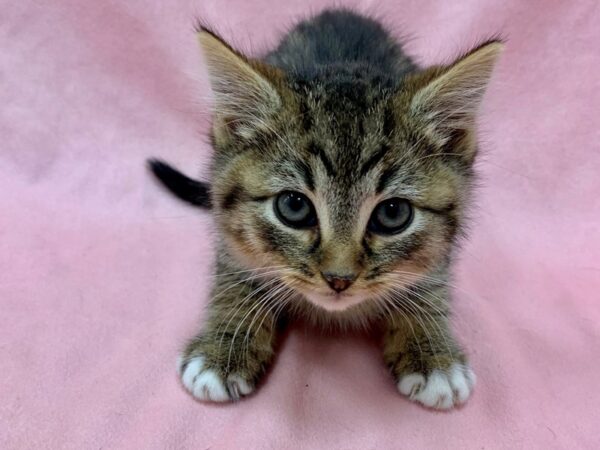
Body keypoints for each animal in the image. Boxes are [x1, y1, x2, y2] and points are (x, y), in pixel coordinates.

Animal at [149, 8, 502, 410]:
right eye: (293, 206)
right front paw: (223, 349)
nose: (339, 279)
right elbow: (234, 275)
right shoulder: (228, 232)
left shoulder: (441, 251)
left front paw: (433, 354)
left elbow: (430, 283)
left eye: (393, 214)